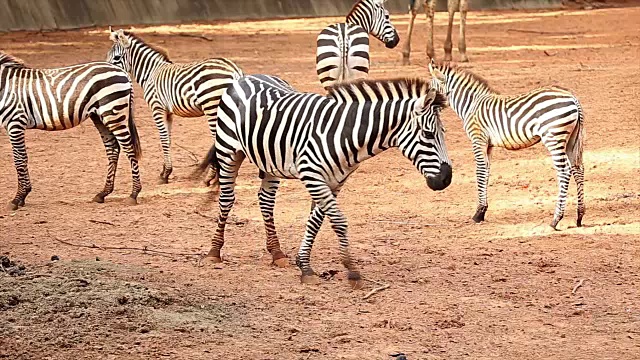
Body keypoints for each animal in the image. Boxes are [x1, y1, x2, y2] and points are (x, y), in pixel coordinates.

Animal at [0, 50, 142, 208]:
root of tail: (121, 71)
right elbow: (21, 158)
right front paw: (23, 196)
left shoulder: (15, 122)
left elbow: (19, 159)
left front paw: (18, 198)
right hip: (99, 116)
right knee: (113, 148)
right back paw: (103, 193)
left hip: (113, 112)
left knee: (128, 148)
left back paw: (134, 194)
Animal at [107, 27, 242, 186]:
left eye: (117, 58)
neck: (151, 73)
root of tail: (234, 70)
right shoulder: (168, 112)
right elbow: (168, 139)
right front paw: (164, 171)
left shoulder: (157, 108)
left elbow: (163, 139)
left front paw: (166, 173)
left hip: (213, 107)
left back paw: (212, 177)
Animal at [195, 74, 450, 288]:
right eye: (428, 134)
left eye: (443, 134)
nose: (446, 179)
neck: (346, 134)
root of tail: (245, 76)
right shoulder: (312, 175)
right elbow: (338, 220)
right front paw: (352, 271)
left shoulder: (335, 181)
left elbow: (316, 222)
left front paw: (304, 265)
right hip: (228, 150)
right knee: (227, 199)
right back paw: (214, 252)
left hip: (269, 160)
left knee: (266, 200)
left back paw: (277, 253)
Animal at [430, 61, 584, 228]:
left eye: (430, 90)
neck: (470, 105)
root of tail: (573, 98)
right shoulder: (488, 145)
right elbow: (486, 171)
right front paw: (483, 211)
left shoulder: (478, 139)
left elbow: (479, 171)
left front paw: (478, 213)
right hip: (572, 139)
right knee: (578, 169)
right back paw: (580, 216)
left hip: (553, 137)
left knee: (564, 171)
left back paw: (556, 219)